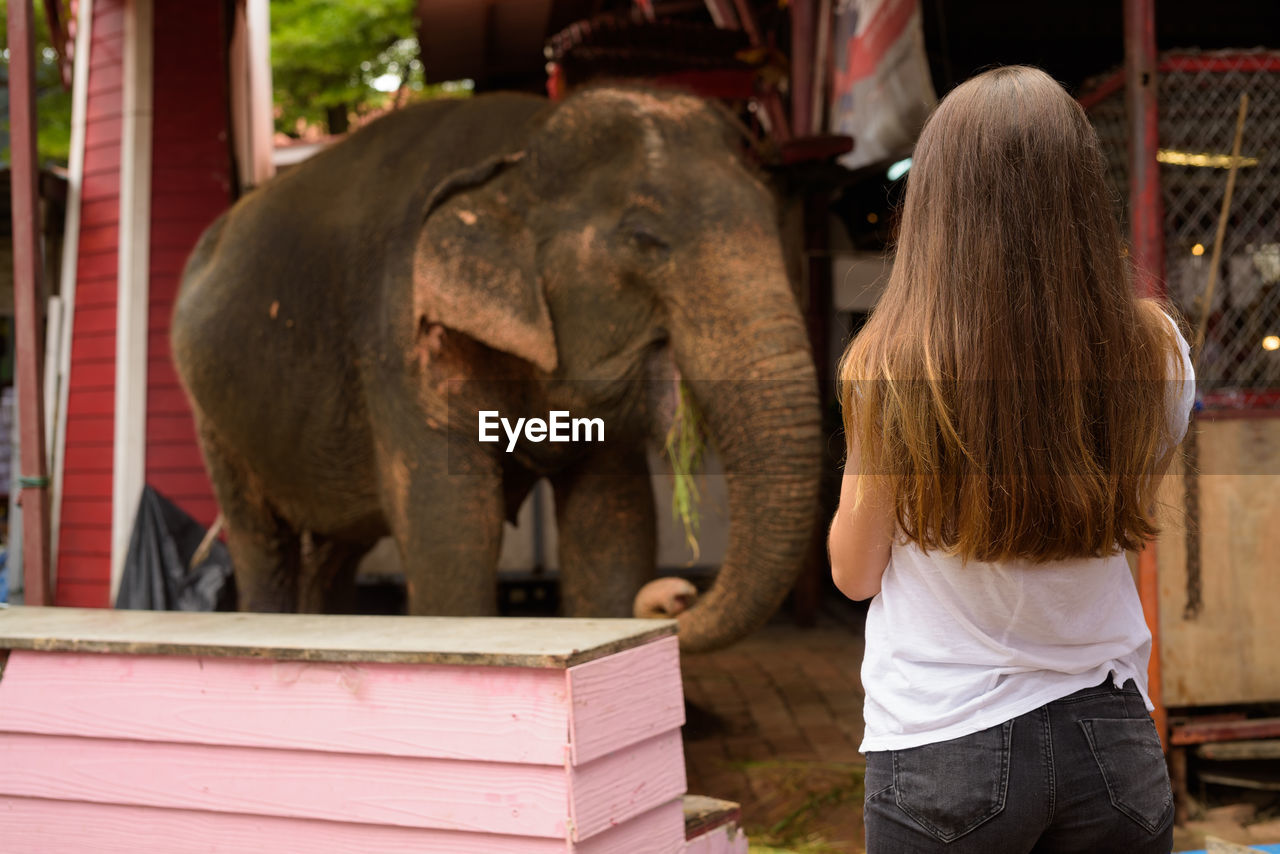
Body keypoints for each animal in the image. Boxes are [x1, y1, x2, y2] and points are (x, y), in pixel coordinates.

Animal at [172, 83, 819, 650]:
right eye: (643, 238)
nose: (675, 596)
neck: (518, 155)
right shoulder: (403, 336)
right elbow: (450, 527)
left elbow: (614, 522)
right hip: (211, 417)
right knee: (261, 540)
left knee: (336, 548)